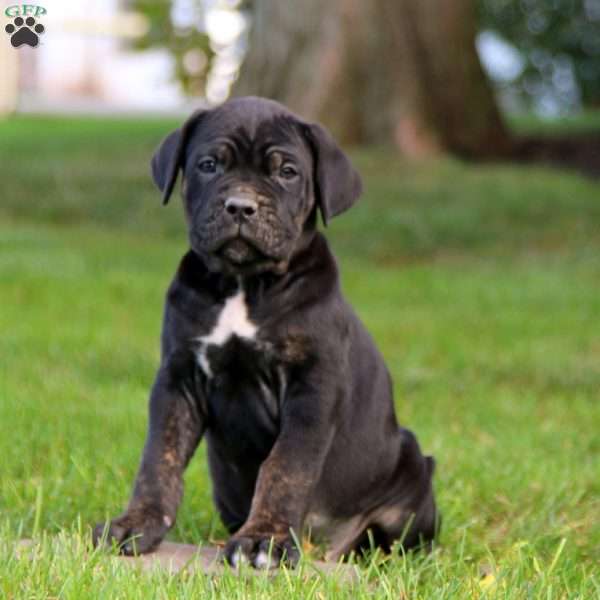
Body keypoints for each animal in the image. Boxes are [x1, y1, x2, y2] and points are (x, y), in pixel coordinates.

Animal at [95, 95, 440, 568]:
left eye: (287, 172)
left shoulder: (312, 389)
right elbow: (158, 460)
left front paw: (265, 539)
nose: (241, 206)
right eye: (208, 165)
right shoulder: (178, 379)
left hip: (413, 468)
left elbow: (286, 466)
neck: (244, 285)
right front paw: (135, 524)